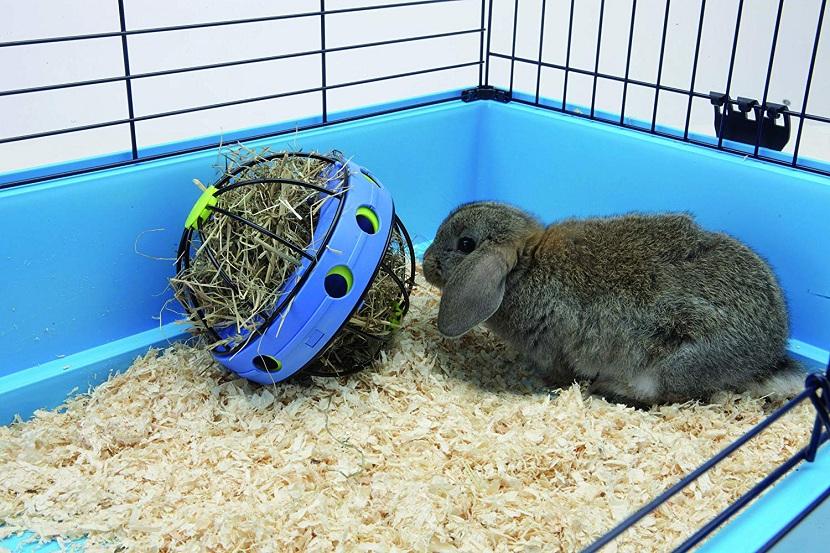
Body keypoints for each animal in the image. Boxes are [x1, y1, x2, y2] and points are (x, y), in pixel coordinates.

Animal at [422, 201, 806, 406]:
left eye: (466, 244)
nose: (426, 264)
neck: (525, 266)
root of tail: (767, 356)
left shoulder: (553, 352)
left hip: (678, 363)